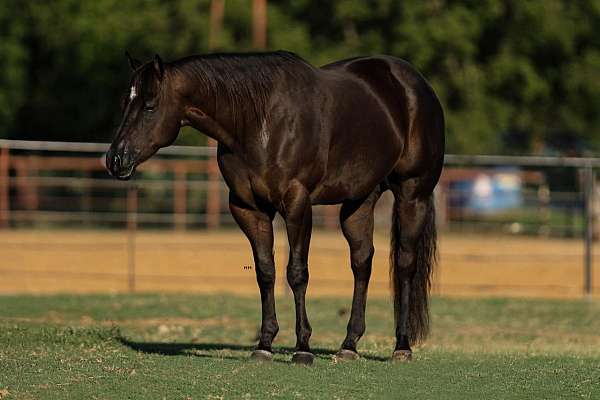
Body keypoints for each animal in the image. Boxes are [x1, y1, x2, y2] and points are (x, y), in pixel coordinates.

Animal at [106, 50, 446, 366]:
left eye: (150, 106)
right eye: (124, 103)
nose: (115, 159)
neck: (260, 123)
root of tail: (416, 85)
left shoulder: (297, 203)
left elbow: (296, 273)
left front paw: (303, 348)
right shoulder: (248, 209)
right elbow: (265, 272)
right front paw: (265, 344)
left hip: (412, 194)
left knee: (405, 264)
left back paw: (401, 346)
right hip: (359, 201)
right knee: (362, 262)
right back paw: (349, 345)